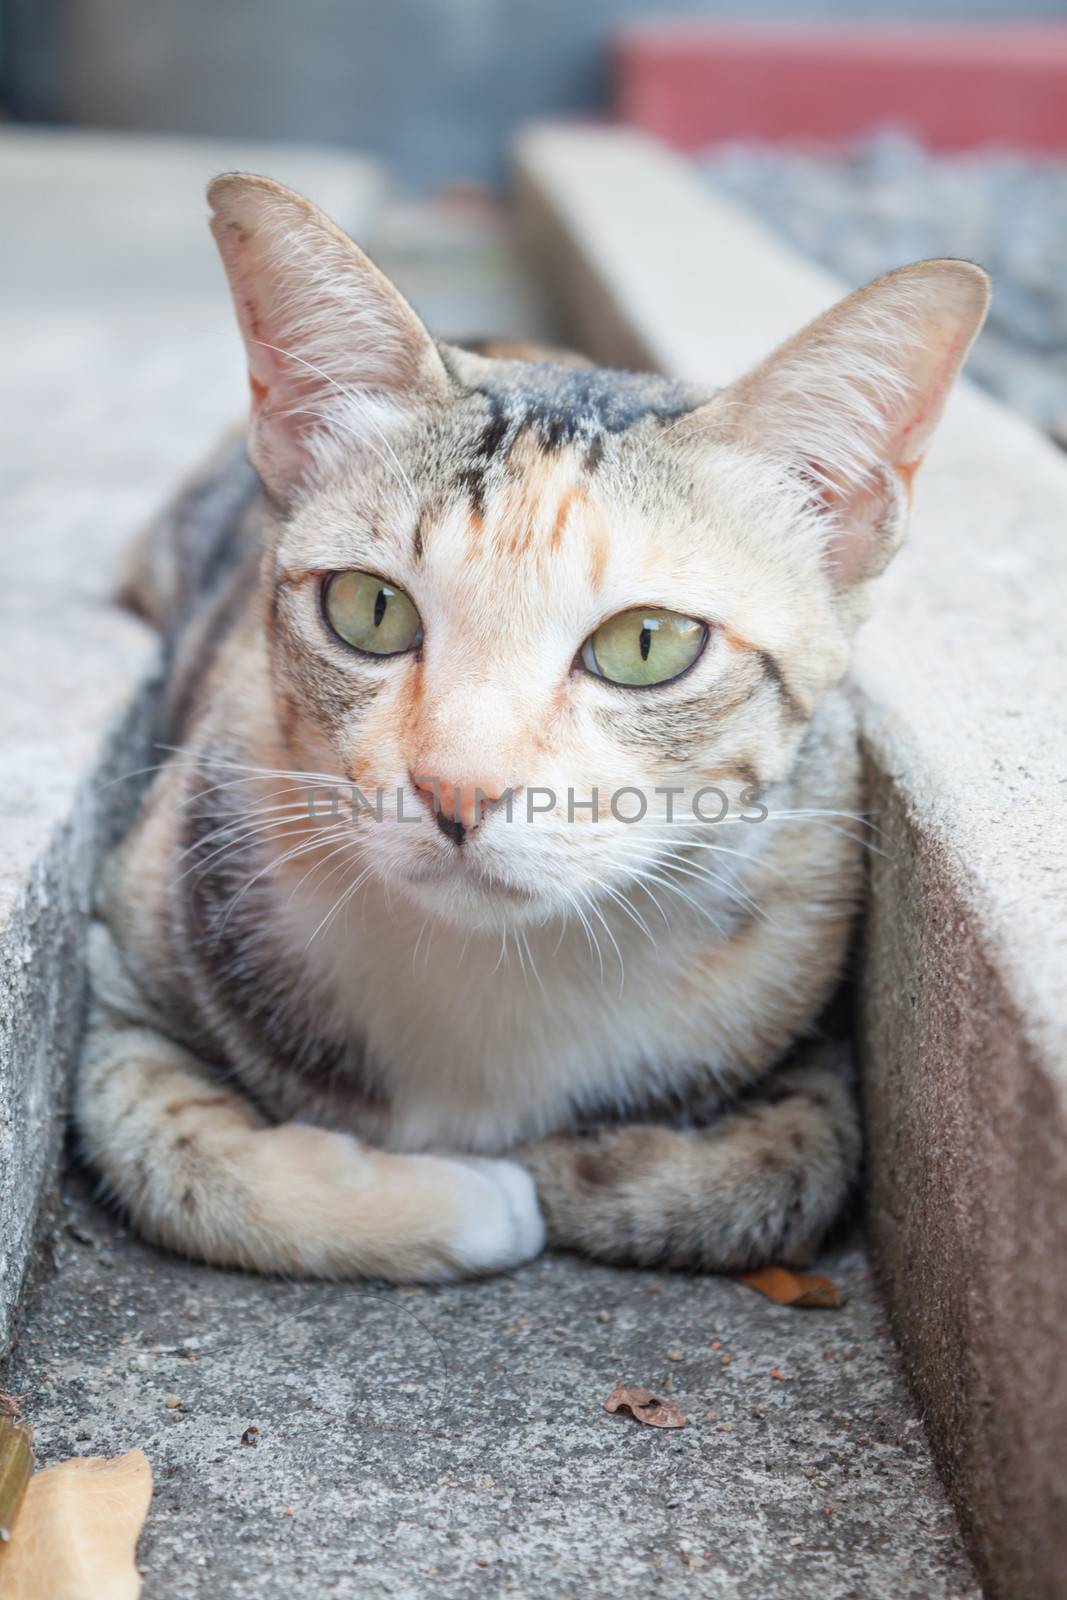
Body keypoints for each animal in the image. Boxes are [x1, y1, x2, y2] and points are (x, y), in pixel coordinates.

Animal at [79, 172, 991, 1273]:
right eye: (368, 609)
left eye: (646, 643)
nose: (456, 789)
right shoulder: (127, 965)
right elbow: (162, 1151)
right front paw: (469, 1200)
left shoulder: (814, 993)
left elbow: (789, 1170)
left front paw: (565, 1168)